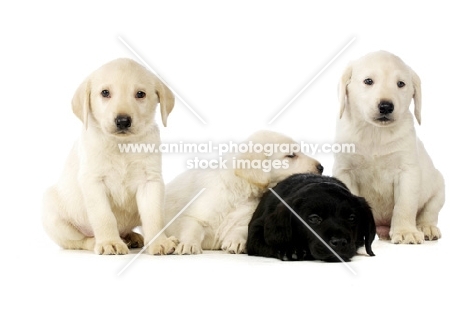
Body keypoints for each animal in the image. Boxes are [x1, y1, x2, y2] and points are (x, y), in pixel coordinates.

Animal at [42, 58, 177, 256]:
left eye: (140, 94)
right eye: (105, 93)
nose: (122, 121)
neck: (121, 146)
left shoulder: (150, 181)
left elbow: (154, 216)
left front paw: (159, 242)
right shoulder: (93, 181)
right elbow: (104, 216)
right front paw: (109, 242)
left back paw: (132, 237)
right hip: (53, 215)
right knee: (77, 241)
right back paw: (98, 241)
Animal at [164, 130, 322, 255]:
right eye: (290, 155)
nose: (321, 167)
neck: (237, 193)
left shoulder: (247, 217)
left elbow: (241, 229)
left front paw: (236, 242)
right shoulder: (194, 215)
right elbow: (192, 228)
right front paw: (188, 244)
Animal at [332, 51, 446, 245]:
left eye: (401, 84)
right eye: (368, 81)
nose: (386, 106)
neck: (375, 133)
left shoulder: (407, 172)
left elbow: (404, 205)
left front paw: (406, 232)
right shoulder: (345, 171)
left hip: (439, 188)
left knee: (428, 213)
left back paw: (425, 228)